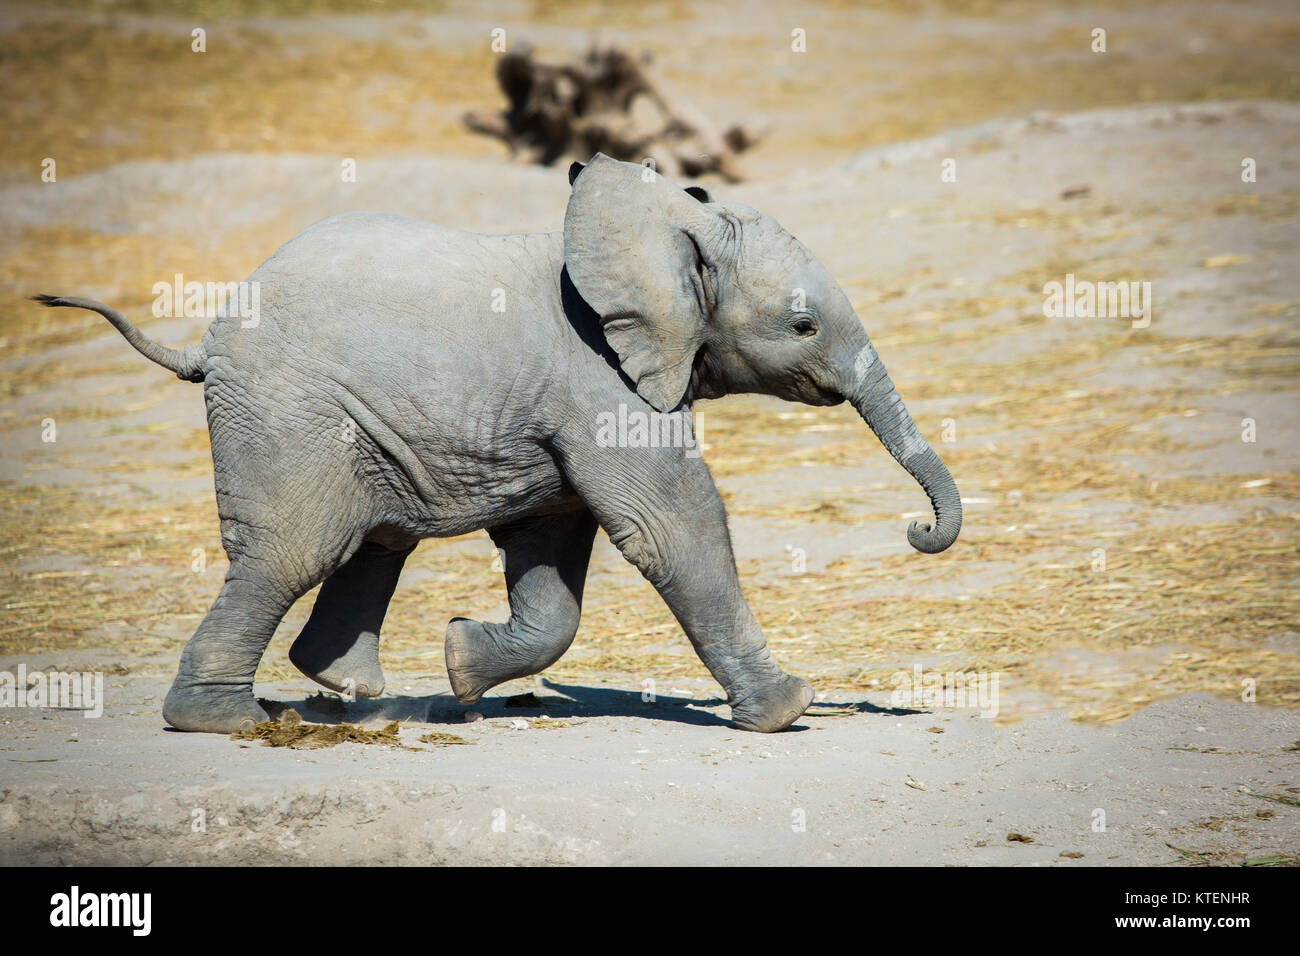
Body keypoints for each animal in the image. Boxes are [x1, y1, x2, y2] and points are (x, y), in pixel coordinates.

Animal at [38, 153, 956, 738]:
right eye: (803, 327)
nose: (919, 530)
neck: (665, 234)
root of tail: (205, 339)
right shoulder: (599, 381)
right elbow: (671, 529)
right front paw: (789, 709)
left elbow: (552, 563)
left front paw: (459, 665)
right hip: (284, 414)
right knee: (293, 552)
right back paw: (232, 719)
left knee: (373, 545)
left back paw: (350, 690)